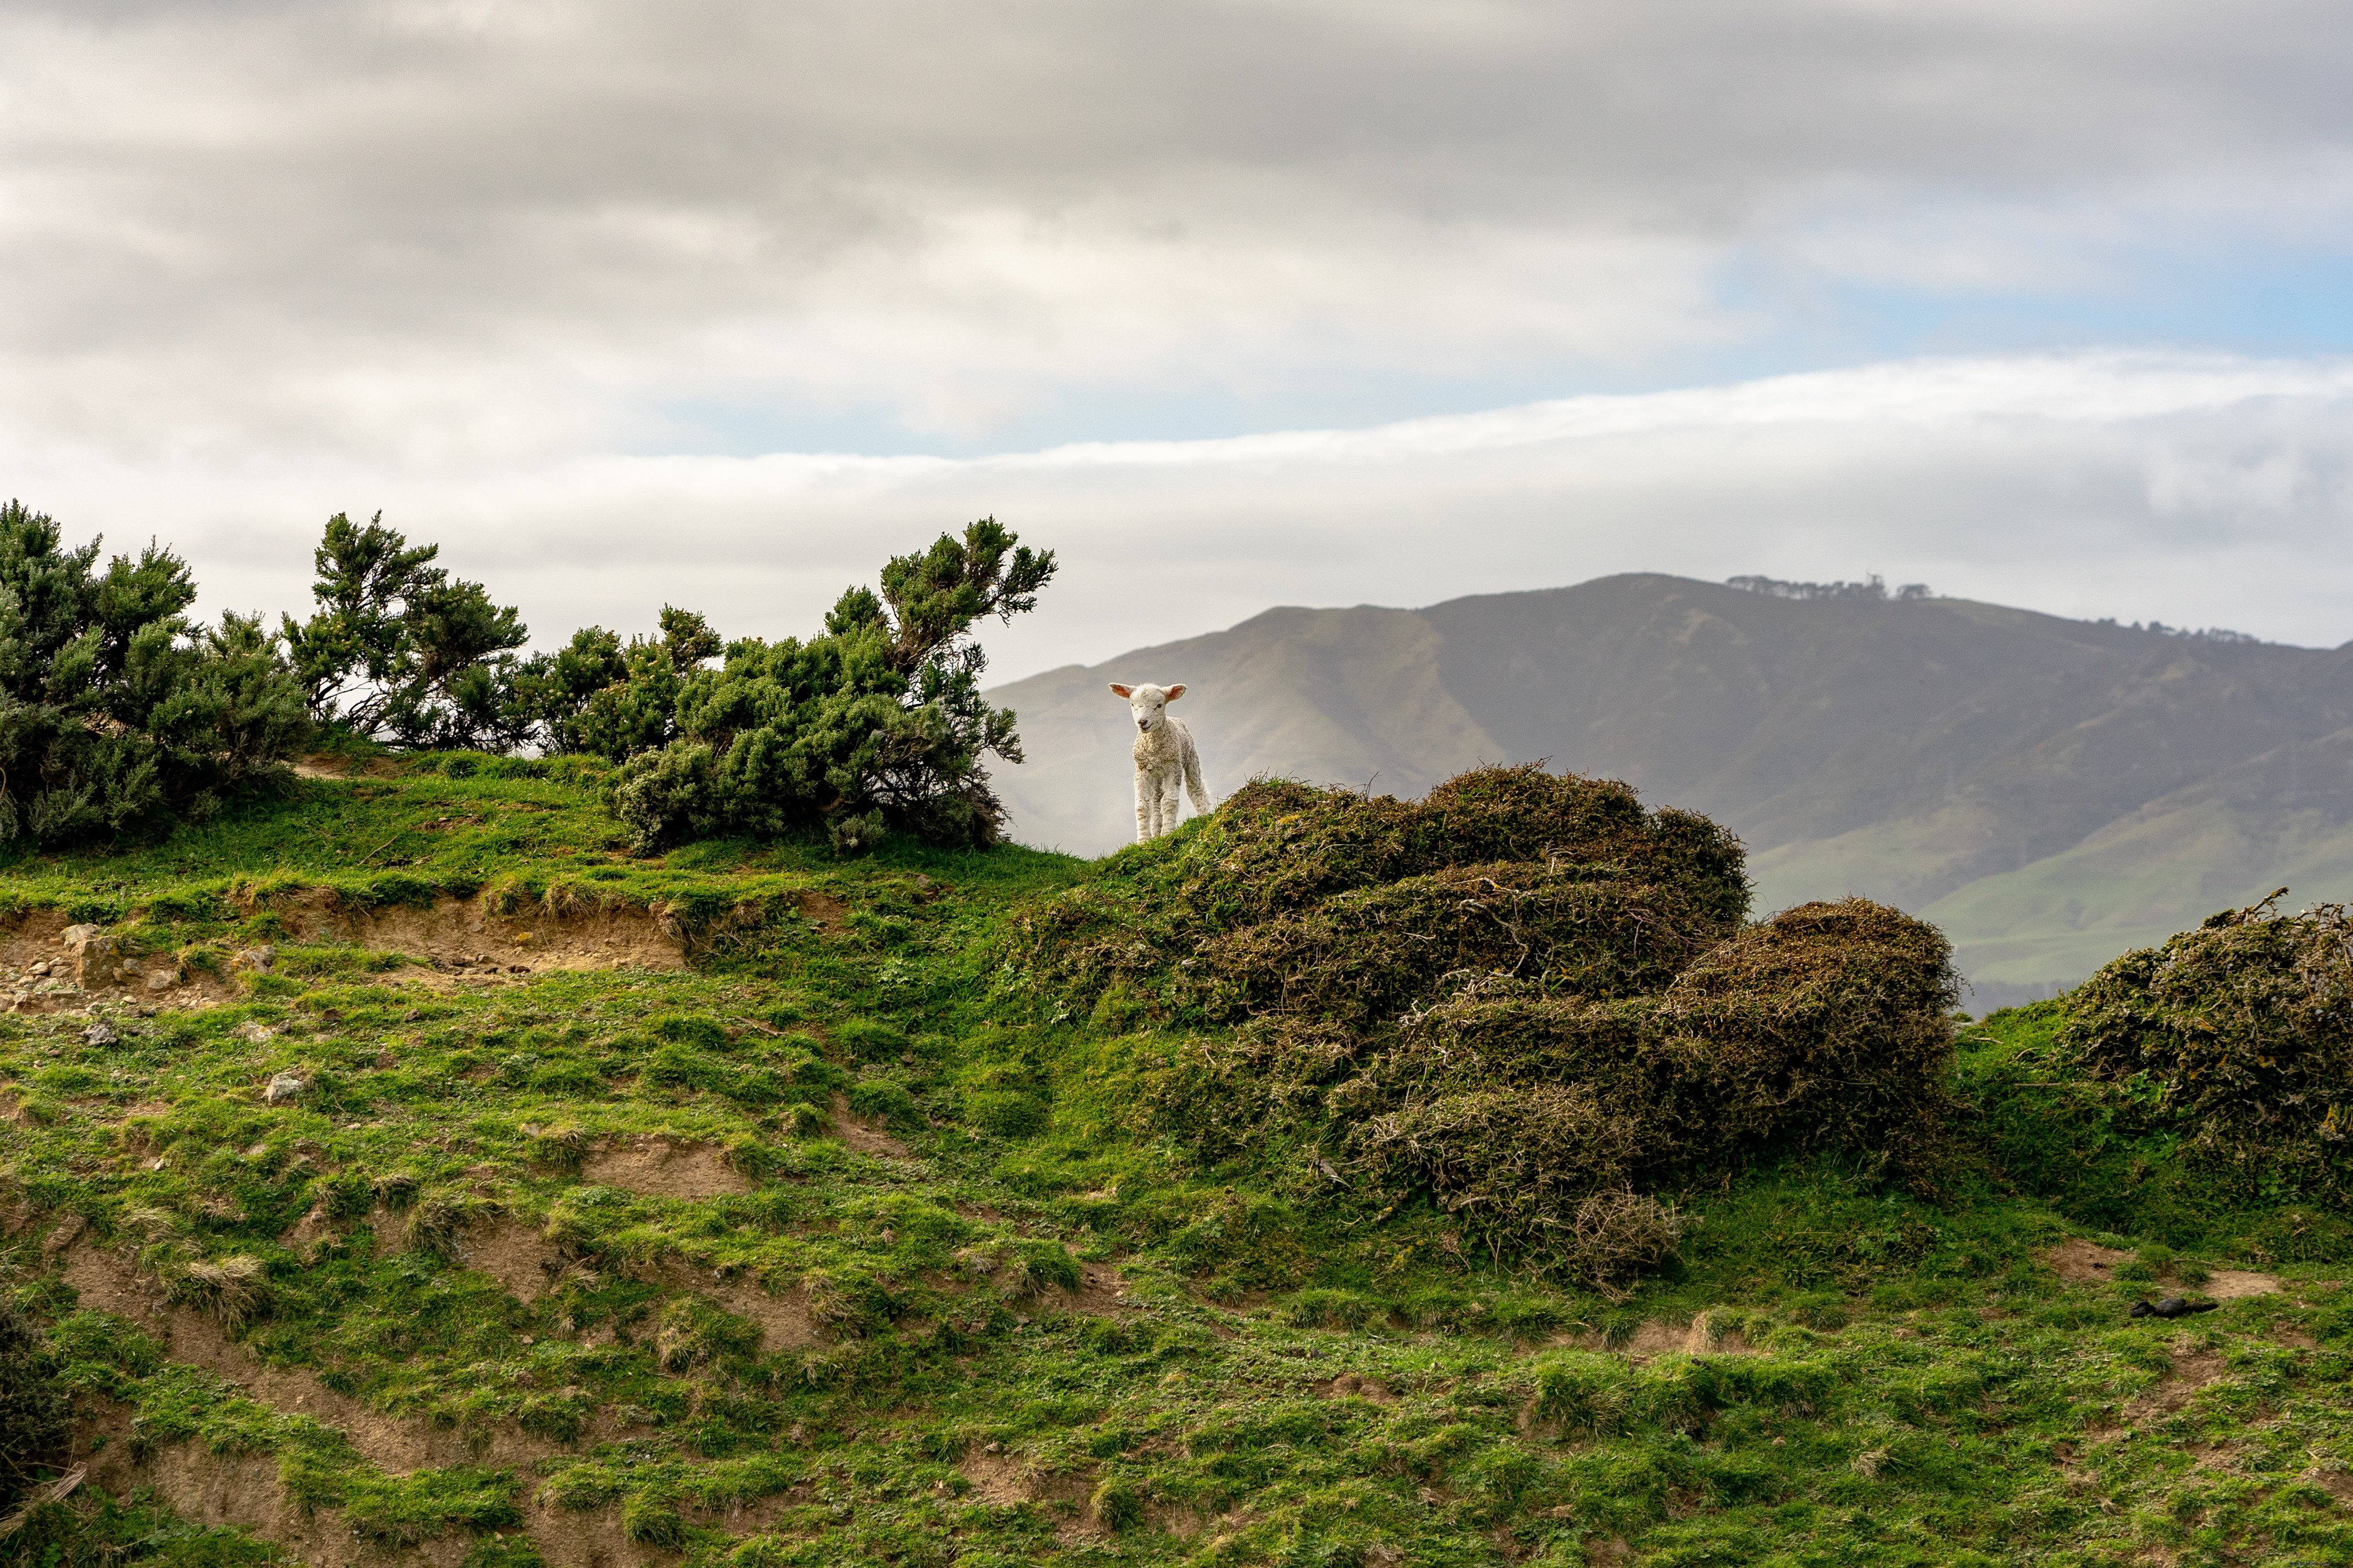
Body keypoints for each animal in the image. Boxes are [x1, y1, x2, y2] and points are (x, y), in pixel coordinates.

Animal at [1110, 682, 1210, 842]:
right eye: (1132, 705)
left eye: (1159, 705)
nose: (1142, 722)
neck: (1154, 749)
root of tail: (1174, 718)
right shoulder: (1142, 770)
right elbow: (1142, 806)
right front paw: (1143, 841)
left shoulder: (1173, 768)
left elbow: (1170, 802)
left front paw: (1168, 833)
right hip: (1157, 775)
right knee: (1157, 800)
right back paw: (1157, 831)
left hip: (1191, 757)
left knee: (1195, 787)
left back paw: (1205, 814)